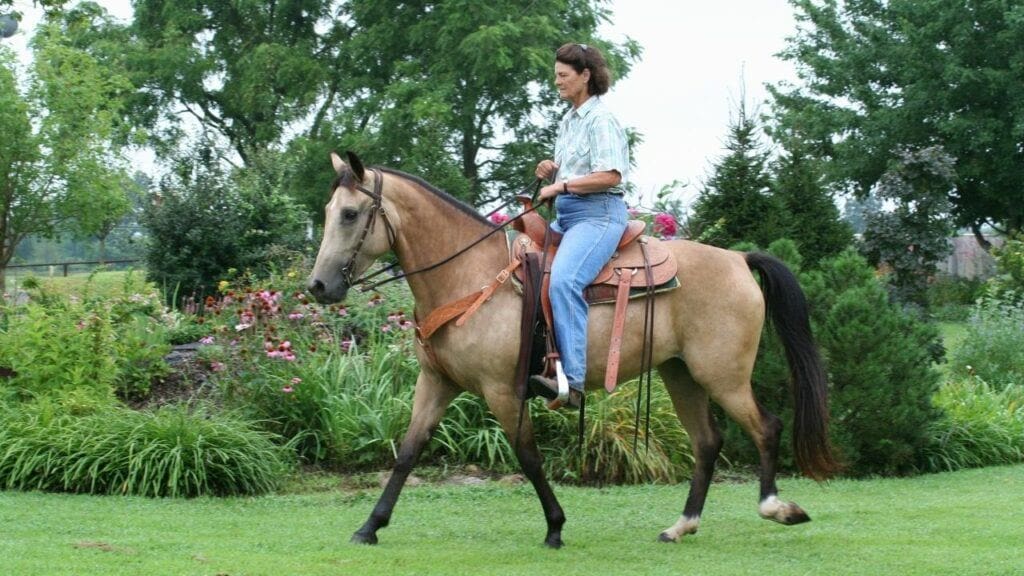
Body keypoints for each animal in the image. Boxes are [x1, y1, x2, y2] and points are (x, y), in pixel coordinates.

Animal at [307, 150, 835, 545]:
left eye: (350, 214)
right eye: (328, 213)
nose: (318, 286)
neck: (470, 276)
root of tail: (739, 260)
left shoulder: (503, 390)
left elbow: (527, 456)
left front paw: (556, 527)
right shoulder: (436, 383)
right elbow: (408, 452)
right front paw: (370, 526)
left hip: (722, 374)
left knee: (766, 427)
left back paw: (777, 507)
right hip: (681, 373)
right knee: (707, 442)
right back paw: (681, 526)